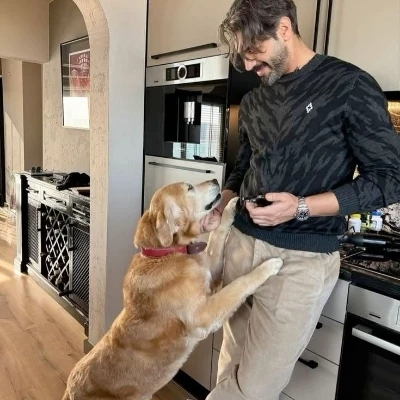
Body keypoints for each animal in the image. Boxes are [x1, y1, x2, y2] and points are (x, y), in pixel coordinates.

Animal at [63, 179, 283, 400]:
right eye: (189, 188)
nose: (215, 180)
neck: (165, 253)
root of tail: (69, 391)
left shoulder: (211, 273)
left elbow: (217, 235)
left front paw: (229, 209)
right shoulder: (204, 314)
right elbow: (240, 284)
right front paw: (268, 266)